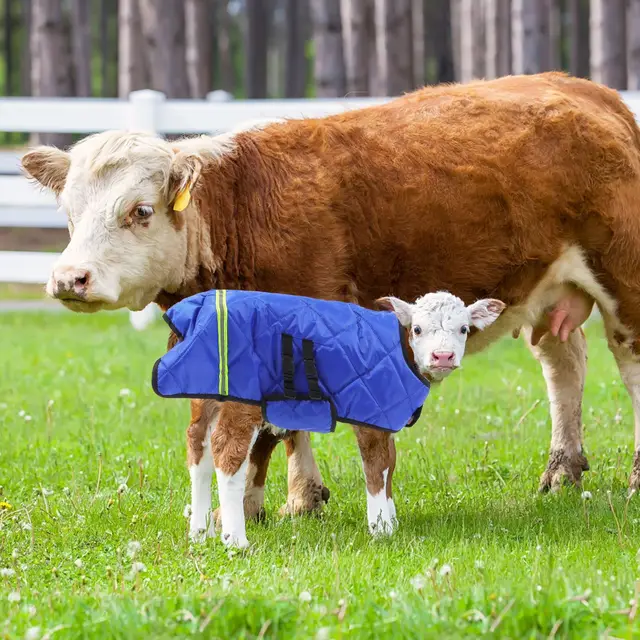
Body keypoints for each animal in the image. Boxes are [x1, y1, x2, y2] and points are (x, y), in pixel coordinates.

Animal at [21, 72, 640, 546]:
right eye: (70, 215)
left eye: (141, 211)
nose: (69, 278)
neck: (245, 208)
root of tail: (587, 90)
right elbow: (284, 423)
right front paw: (298, 498)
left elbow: (277, 430)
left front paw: (249, 508)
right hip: (551, 290)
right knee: (564, 361)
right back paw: (562, 469)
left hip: (623, 278)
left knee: (630, 364)